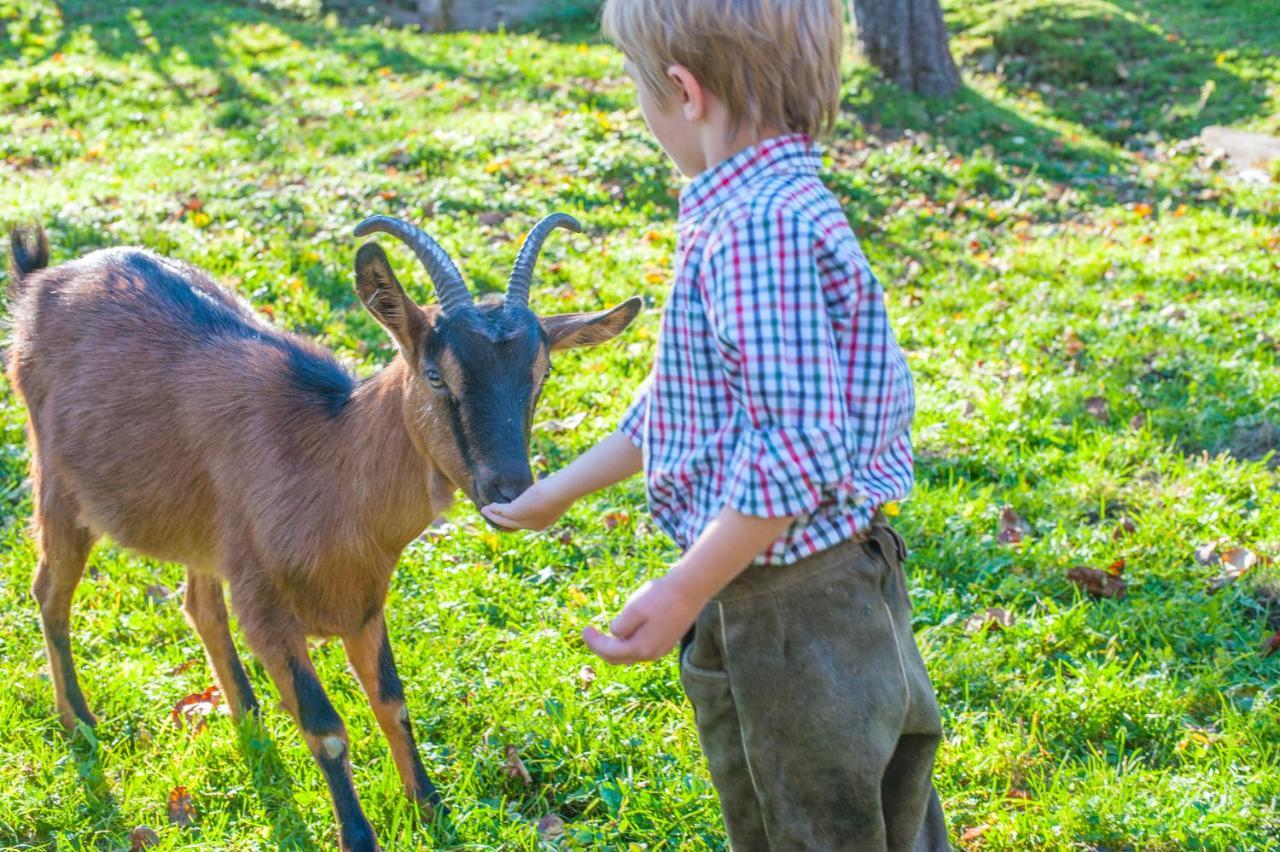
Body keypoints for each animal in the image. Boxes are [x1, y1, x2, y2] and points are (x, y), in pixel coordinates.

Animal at [1, 216, 640, 844]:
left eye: (542, 373)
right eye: (436, 374)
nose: (510, 489)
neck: (329, 465)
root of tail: (41, 281)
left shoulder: (363, 605)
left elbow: (392, 703)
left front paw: (432, 810)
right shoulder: (267, 610)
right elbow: (326, 728)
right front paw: (359, 835)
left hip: (205, 530)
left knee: (199, 603)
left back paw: (249, 719)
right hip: (58, 485)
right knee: (50, 592)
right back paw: (81, 724)